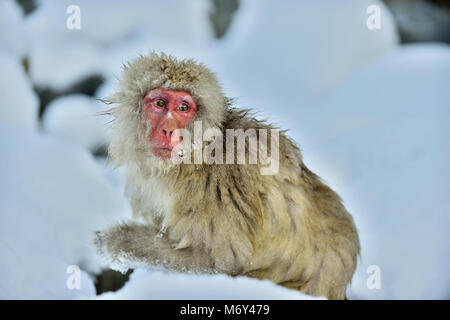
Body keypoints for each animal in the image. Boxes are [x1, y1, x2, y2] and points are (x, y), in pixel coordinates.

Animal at [95, 52, 358, 300]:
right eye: (160, 103)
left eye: (183, 108)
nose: (169, 130)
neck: (193, 159)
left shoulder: (218, 185)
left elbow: (219, 262)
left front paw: (118, 242)